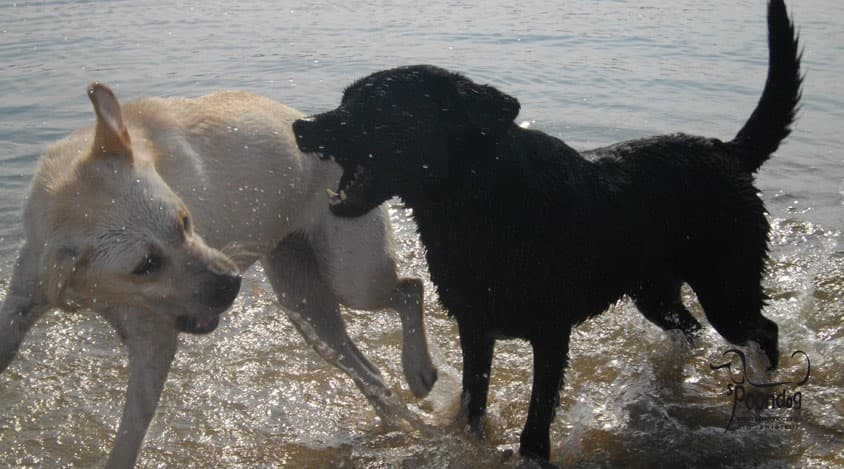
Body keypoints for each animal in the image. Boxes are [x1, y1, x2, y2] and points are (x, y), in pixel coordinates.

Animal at [294, 0, 800, 460]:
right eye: (344, 99)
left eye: (373, 107)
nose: (301, 125)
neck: (477, 205)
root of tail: (726, 151)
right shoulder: (474, 325)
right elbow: (474, 403)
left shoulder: (551, 331)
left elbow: (537, 418)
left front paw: (529, 453)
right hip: (654, 292)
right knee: (690, 327)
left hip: (726, 288)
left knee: (763, 329)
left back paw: (764, 390)